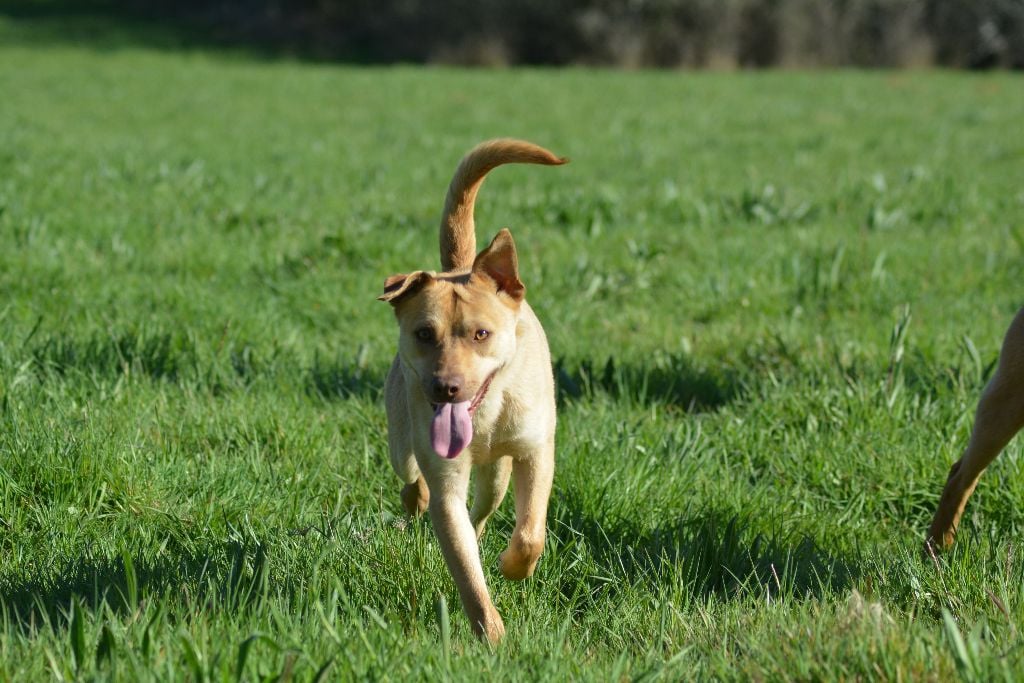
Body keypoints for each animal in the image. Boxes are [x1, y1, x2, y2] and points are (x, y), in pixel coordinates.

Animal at [379, 139, 567, 642]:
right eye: (424, 334)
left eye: (481, 334)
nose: (446, 387)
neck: (484, 417)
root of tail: (461, 266)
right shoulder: (445, 481)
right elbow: (465, 571)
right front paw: (493, 636)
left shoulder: (534, 450)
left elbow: (531, 531)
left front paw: (512, 567)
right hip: (401, 441)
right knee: (412, 481)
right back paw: (415, 504)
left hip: (496, 477)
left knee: (482, 513)